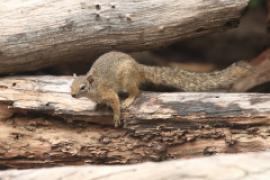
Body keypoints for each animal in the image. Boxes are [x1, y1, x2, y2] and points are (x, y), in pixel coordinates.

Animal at [70, 50, 253, 126]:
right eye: (70, 86)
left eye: (83, 87)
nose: (72, 95)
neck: (95, 87)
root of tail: (138, 68)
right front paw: (97, 105)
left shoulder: (108, 92)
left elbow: (115, 102)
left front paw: (116, 116)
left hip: (127, 79)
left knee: (136, 91)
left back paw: (129, 100)